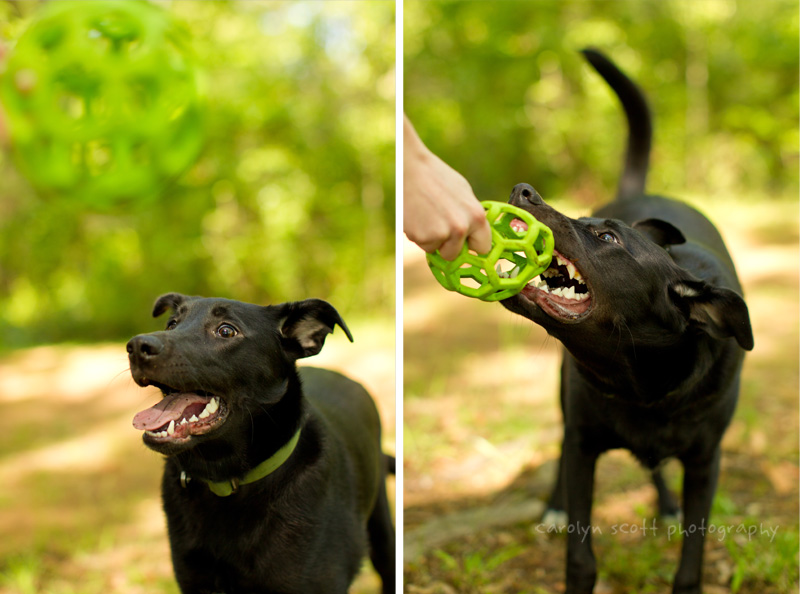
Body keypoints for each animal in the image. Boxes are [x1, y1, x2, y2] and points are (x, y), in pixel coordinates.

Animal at [504, 51, 752, 592]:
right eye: (586, 221)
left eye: (606, 238)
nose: (521, 189)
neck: (643, 383)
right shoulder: (583, 446)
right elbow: (580, 556)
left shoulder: (706, 462)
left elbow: (691, 563)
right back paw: (553, 506)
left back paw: (667, 504)